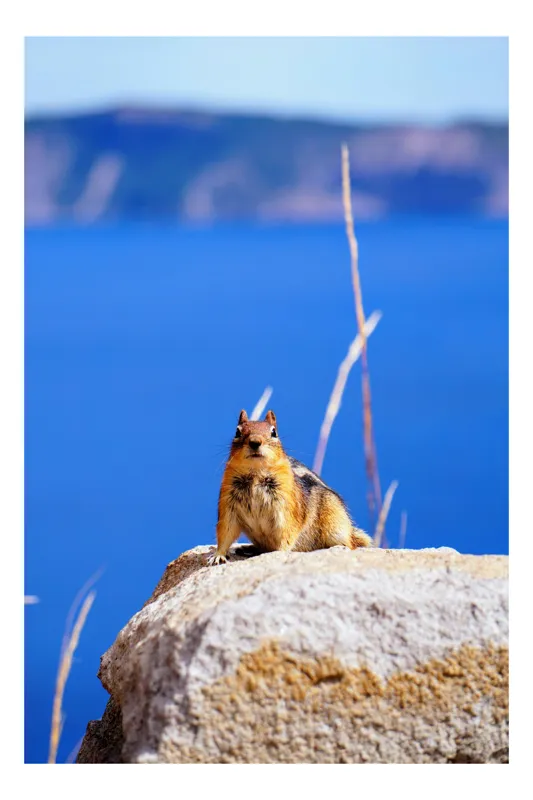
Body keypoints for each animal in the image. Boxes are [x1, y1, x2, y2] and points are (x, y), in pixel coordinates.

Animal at [208, 409, 372, 565]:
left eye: (274, 432)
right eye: (237, 431)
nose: (255, 442)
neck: (256, 475)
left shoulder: (285, 506)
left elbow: (286, 531)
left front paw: (280, 552)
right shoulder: (228, 505)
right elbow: (225, 532)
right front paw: (217, 555)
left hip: (335, 524)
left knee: (351, 544)